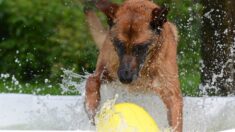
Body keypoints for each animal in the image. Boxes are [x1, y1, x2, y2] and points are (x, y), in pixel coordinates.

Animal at [83, 0, 183, 131]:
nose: (125, 79)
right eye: (119, 44)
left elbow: (176, 120)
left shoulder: (171, 94)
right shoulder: (104, 71)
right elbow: (91, 81)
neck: (145, 68)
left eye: (140, 47)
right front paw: (91, 108)